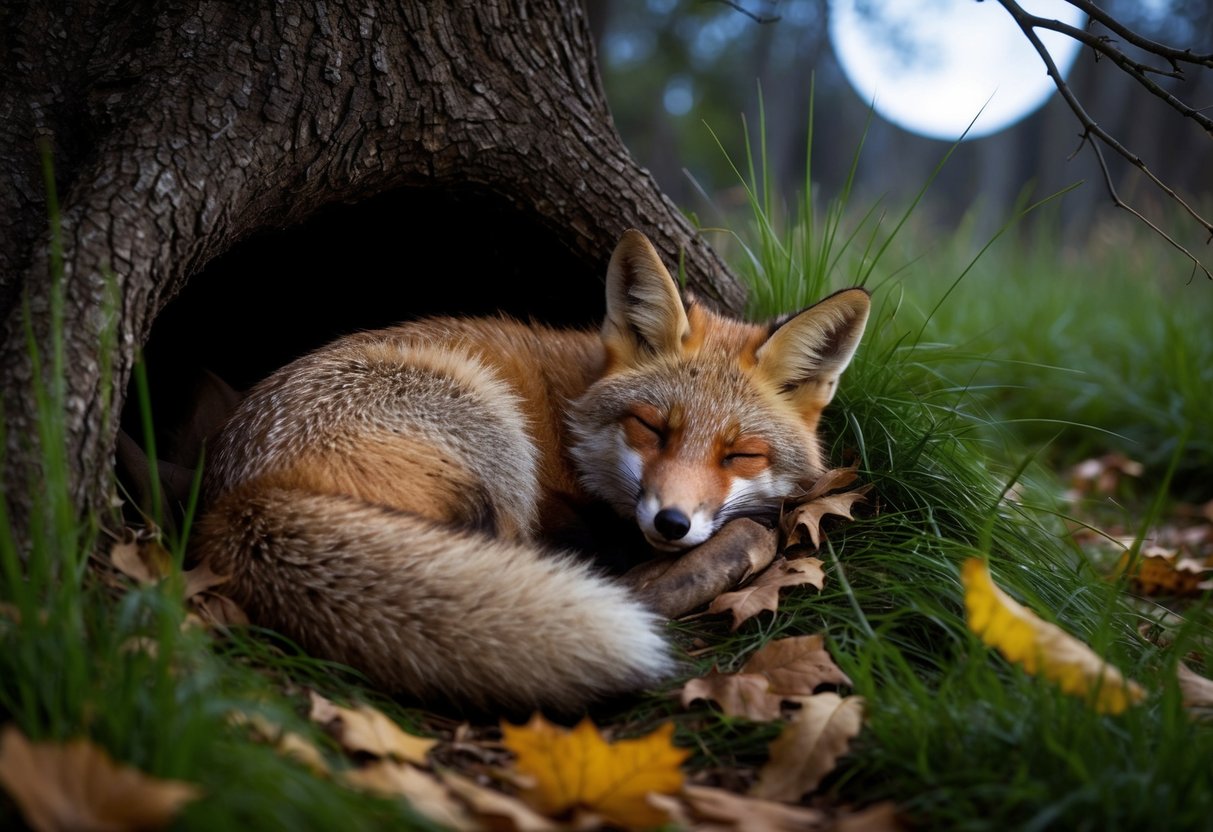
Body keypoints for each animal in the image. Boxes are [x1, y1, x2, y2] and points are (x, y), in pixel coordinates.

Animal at [192, 229, 870, 712]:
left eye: (740, 455)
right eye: (652, 428)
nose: (672, 523)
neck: (572, 415)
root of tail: (242, 499)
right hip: (493, 428)